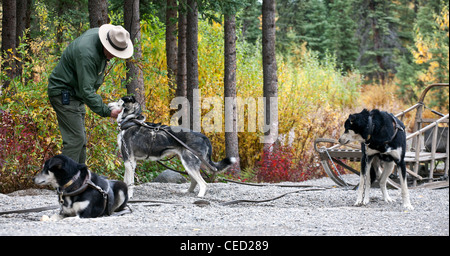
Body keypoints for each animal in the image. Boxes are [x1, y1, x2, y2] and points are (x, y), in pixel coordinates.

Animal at [107, 96, 237, 198]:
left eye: (119, 101)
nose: (107, 105)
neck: (130, 121)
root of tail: (204, 137)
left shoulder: (128, 160)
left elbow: (129, 182)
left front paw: (128, 196)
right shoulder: (130, 161)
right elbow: (126, 181)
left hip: (189, 163)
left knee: (203, 183)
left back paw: (200, 195)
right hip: (186, 163)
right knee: (194, 181)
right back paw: (187, 192)